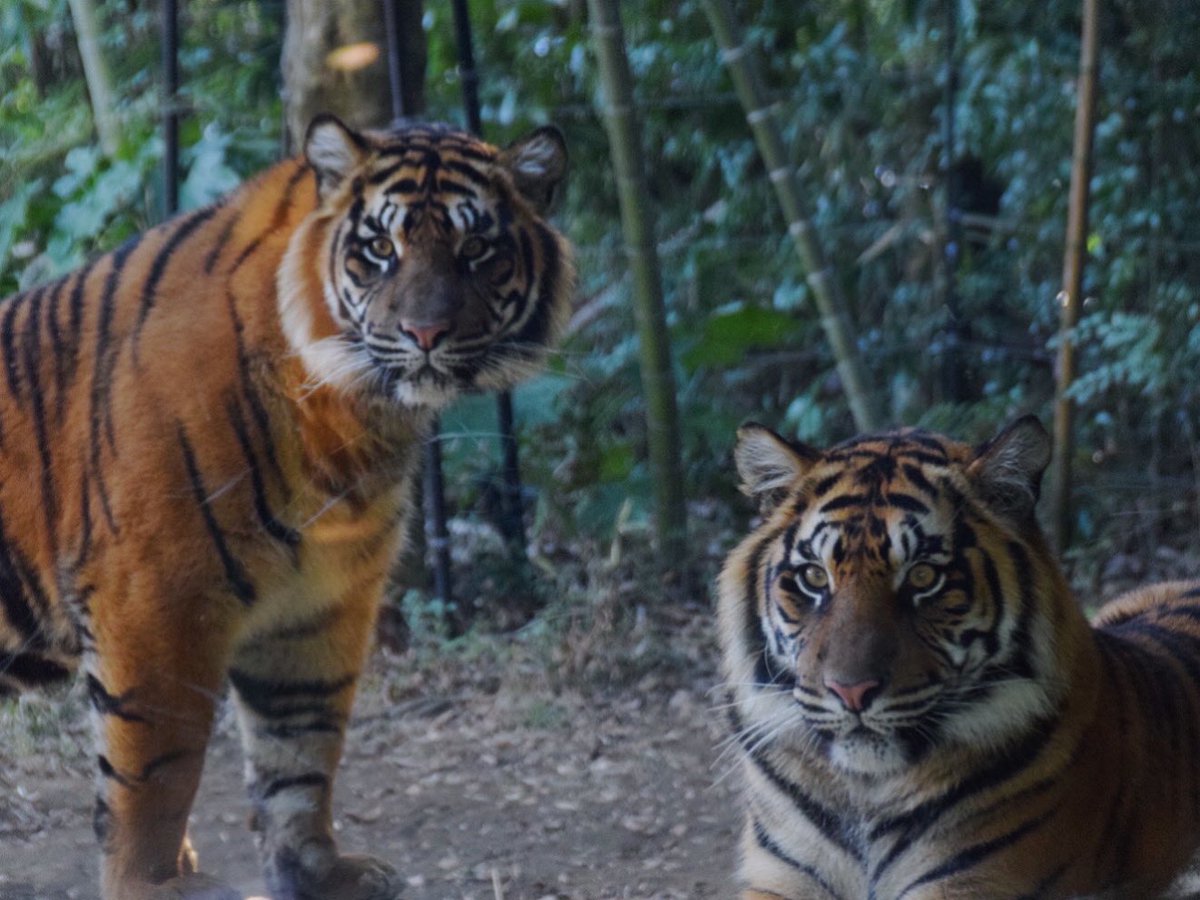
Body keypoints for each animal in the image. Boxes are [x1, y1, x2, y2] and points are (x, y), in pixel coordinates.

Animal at [0, 114, 573, 900]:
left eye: (476, 249)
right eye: (380, 249)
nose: (426, 335)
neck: (349, 418)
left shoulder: (319, 601)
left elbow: (300, 747)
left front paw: (316, 870)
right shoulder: (151, 602)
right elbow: (156, 773)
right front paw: (153, 885)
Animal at [715, 420, 1200, 900]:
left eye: (924, 576)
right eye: (814, 577)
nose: (850, 691)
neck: (864, 794)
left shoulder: (972, 883)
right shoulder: (778, 880)